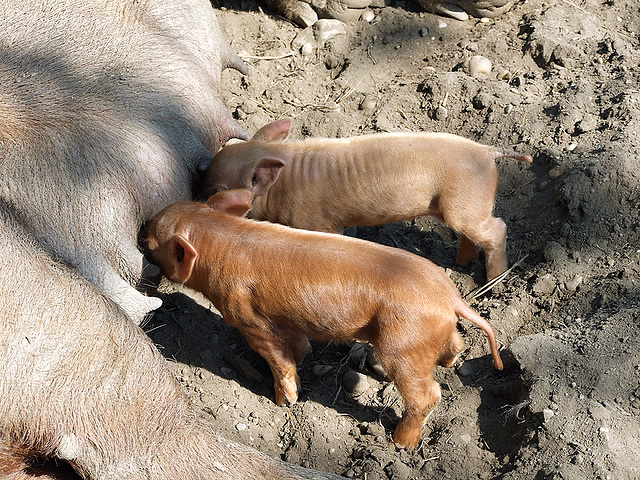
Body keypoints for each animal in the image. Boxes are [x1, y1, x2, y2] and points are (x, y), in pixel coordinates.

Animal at [142, 188, 502, 450]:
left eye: (150, 244)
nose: (141, 229)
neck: (219, 240)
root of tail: (451, 297)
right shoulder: (284, 319)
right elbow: (297, 345)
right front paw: (305, 356)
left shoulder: (247, 317)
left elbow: (278, 358)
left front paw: (284, 401)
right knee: (457, 345)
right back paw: (449, 363)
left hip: (402, 345)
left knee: (427, 395)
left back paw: (400, 445)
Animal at [201, 118, 536, 282]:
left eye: (216, 188)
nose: (199, 195)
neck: (286, 180)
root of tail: (488, 151)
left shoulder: (318, 222)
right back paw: (459, 263)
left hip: (464, 205)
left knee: (497, 228)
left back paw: (495, 283)